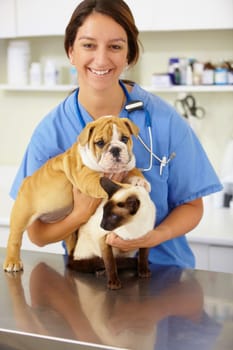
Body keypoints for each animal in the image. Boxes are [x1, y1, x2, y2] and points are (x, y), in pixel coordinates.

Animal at [3, 116, 148, 272]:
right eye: (100, 143)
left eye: (125, 139)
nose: (115, 149)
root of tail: (26, 180)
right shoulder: (88, 178)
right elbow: (109, 183)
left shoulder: (125, 166)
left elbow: (132, 169)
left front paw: (140, 181)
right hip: (22, 214)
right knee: (14, 238)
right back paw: (12, 262)